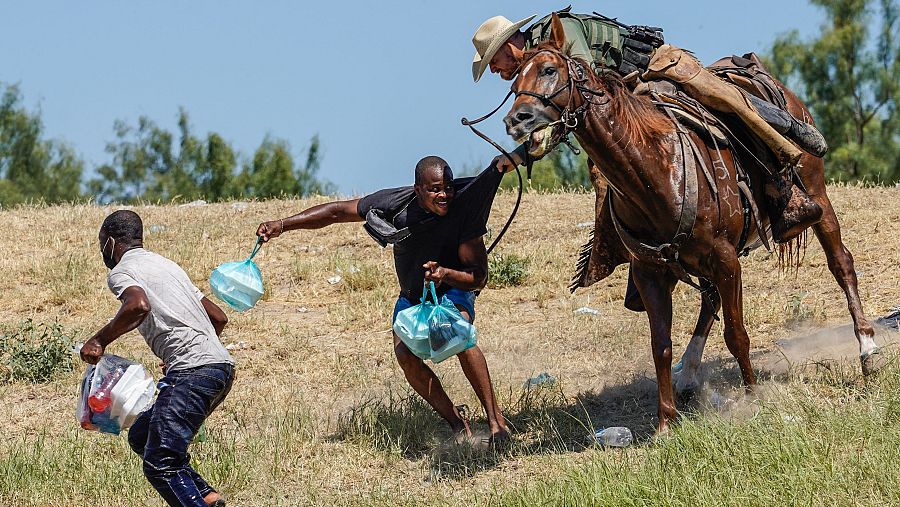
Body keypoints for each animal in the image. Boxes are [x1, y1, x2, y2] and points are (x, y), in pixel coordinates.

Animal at [502, 14, 878, 434]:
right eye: (514, 84)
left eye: (549, 70)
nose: (516, 120)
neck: (655, 170)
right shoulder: (650, 271)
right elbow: (661, 345)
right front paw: (666, 422)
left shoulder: (726, 259)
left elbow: (736, 334)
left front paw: (753, 398)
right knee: (709, 298)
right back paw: (689, 374)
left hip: (817, 196)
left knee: (841, 263)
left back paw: (867, 348)